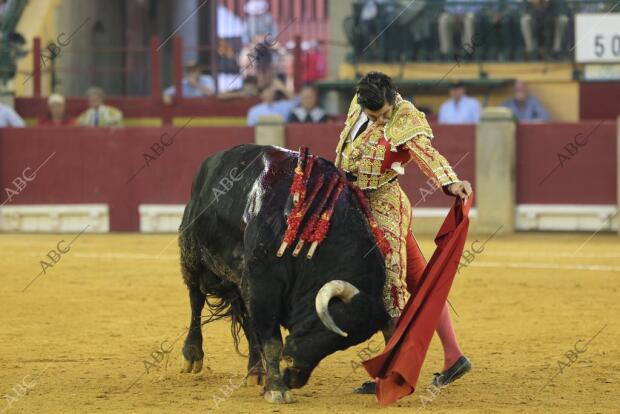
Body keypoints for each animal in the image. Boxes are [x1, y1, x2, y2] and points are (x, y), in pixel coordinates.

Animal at [178, 144, 388, 402]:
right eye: (323, 327)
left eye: (341, 345)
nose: (295, 378)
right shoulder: (264, 282)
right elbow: (272, 341)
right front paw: (277, 389)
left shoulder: (257, 286)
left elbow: (262, 331)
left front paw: (272, 382)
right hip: (193, 256)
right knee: (196, 299)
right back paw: (192, 355)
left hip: (242, 282)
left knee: (248, 320)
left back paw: (255, 371)